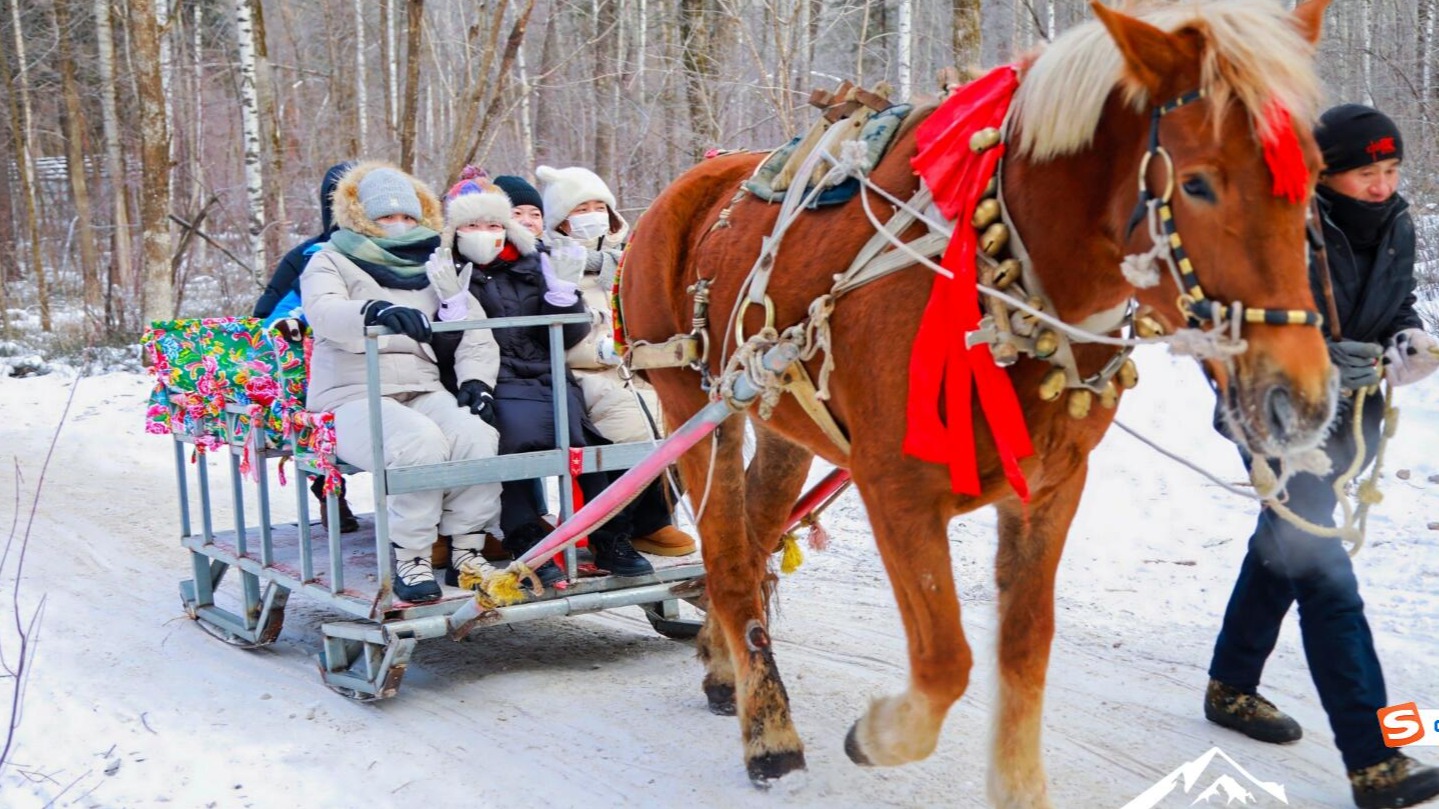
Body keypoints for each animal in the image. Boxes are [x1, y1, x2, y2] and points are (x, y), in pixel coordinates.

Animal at [624, 0, 1329, 800]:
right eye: (1201, 183)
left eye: (1312, 175)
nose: (1301, 400)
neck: (1000, 283)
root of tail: (676, 193)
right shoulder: (895, 486)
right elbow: (944, 660)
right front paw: (881, 733)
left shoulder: (1050, 486)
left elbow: (1023, 649)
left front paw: (1019, 787)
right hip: (693, 406)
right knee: (726, 555)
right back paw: (768, 732)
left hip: (780, 420)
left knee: (753, 535)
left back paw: (724, 667)